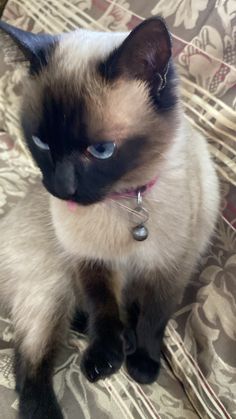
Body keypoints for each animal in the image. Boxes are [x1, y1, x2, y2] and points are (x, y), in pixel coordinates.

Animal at [0, 17, 219, 419]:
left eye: (101, 150)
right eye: (41, 143)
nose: (62, 188)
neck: (123, 203)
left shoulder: (169, 270)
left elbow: (153, 319)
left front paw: (143, 363)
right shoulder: (91, 263)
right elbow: (103, 311)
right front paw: (105, 358)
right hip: (52, 288)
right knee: (30, 367)